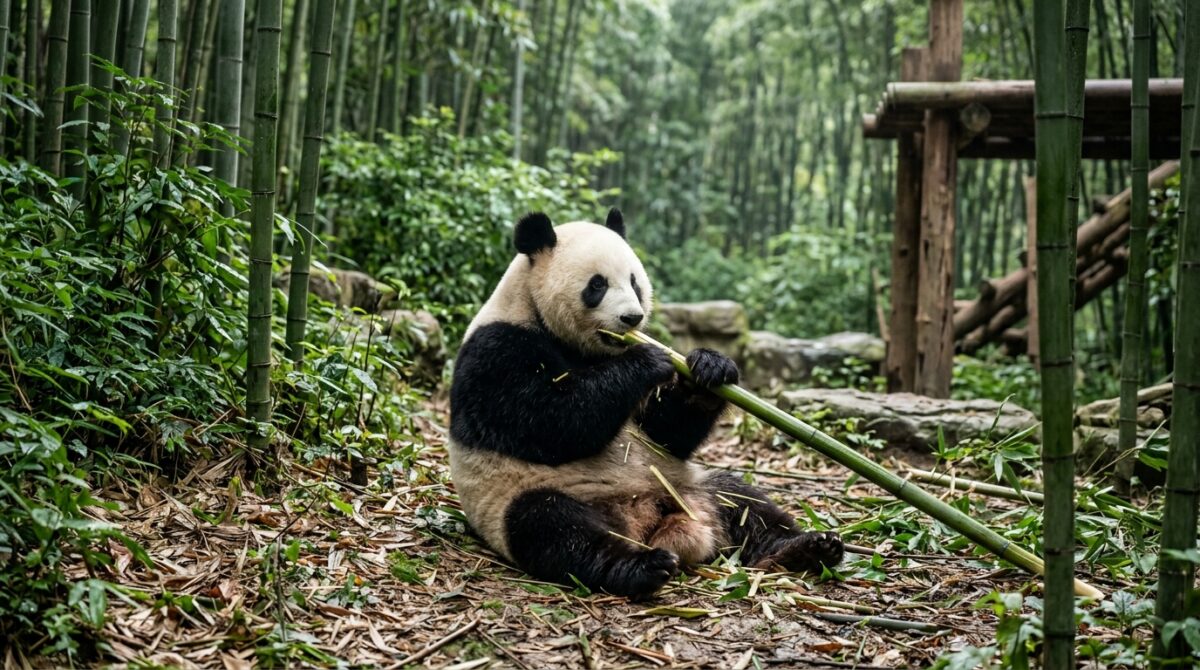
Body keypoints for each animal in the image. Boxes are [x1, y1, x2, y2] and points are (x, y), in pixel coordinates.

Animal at [447, 209, 843, 598]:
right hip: (527, 497)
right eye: (597, 285)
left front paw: (708, 367)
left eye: (634, 282)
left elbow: (667, 432)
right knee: (555, 528)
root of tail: (651, 521)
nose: (632, 318)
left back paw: (808, 547)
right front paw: (647, 359)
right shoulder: (497, 349)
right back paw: (642, 566)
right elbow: (547, 422)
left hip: (688, 483)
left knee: (744, 501)